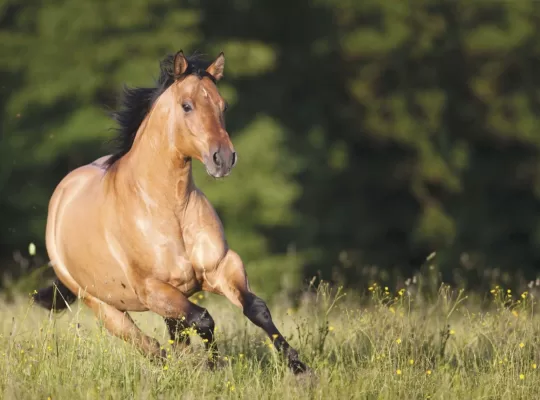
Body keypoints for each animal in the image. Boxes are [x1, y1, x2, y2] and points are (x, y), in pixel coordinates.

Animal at [33, 50, 308, 376]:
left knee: (173, 339)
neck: (169, 208)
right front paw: (216, 366)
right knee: (150, 346)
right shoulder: (152, 289)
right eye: (186, 106)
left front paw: (300, 367)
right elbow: (204, 319)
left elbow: (257, 309)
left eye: (223, 105)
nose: (223, 158)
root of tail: (62, 195)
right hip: (104, 306)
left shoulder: (221, 267)